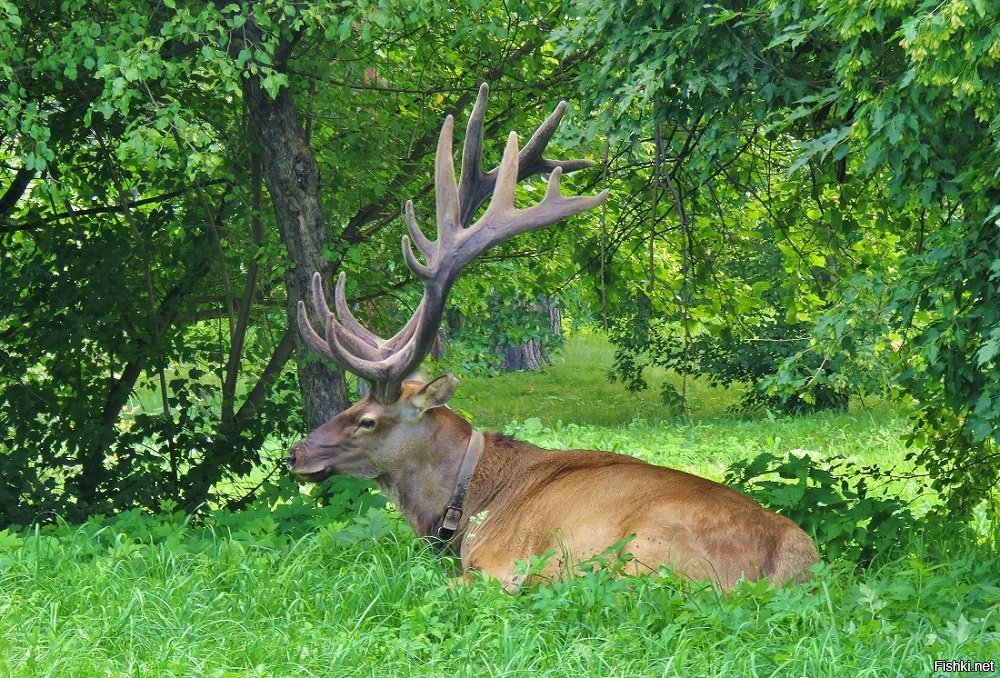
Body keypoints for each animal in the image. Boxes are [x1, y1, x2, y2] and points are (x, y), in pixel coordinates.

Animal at [286, 83, 816, 596]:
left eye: (367, 421)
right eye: (350, 407)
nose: (296, 453)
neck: (470, 503)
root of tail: (794, 565)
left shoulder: (498, 565)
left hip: (639, 560)